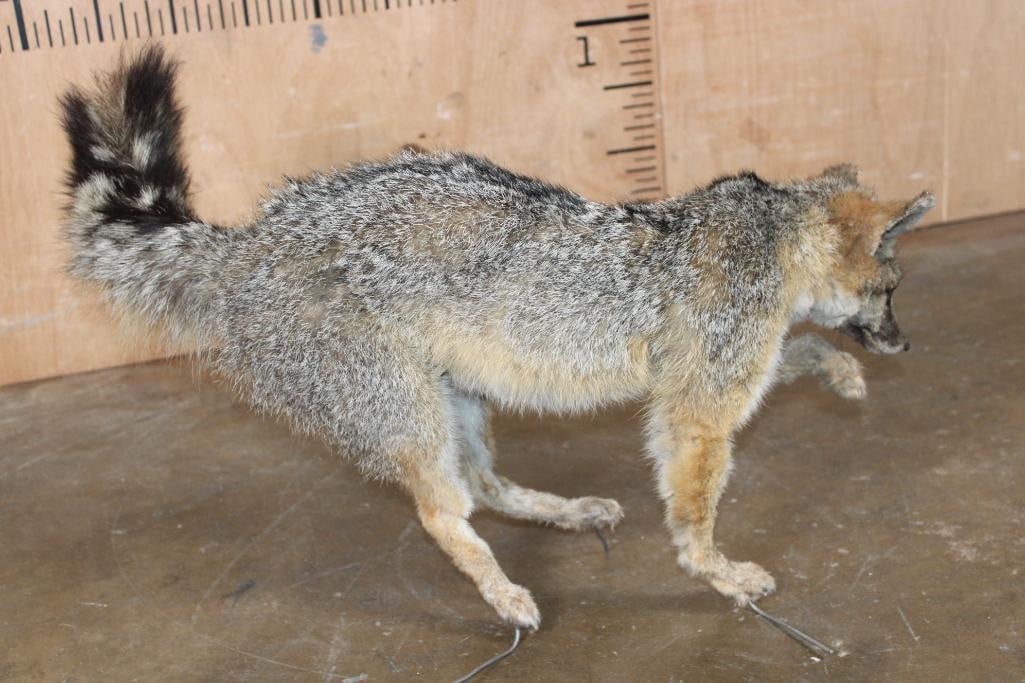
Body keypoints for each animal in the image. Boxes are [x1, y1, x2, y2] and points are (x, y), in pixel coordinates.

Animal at [59, 46, 933, 630]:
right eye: (890, 291)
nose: (902, 347)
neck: (768, 234)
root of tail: (255, 237)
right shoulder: (697, 414)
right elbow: (694, 520)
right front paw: (716, 572)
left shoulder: (713, 375)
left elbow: (800, 350)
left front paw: (839, 373)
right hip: (414, 417)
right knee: (442, 513)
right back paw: (504, 591)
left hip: (461, 401)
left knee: (482, 486)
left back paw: (567, 512)